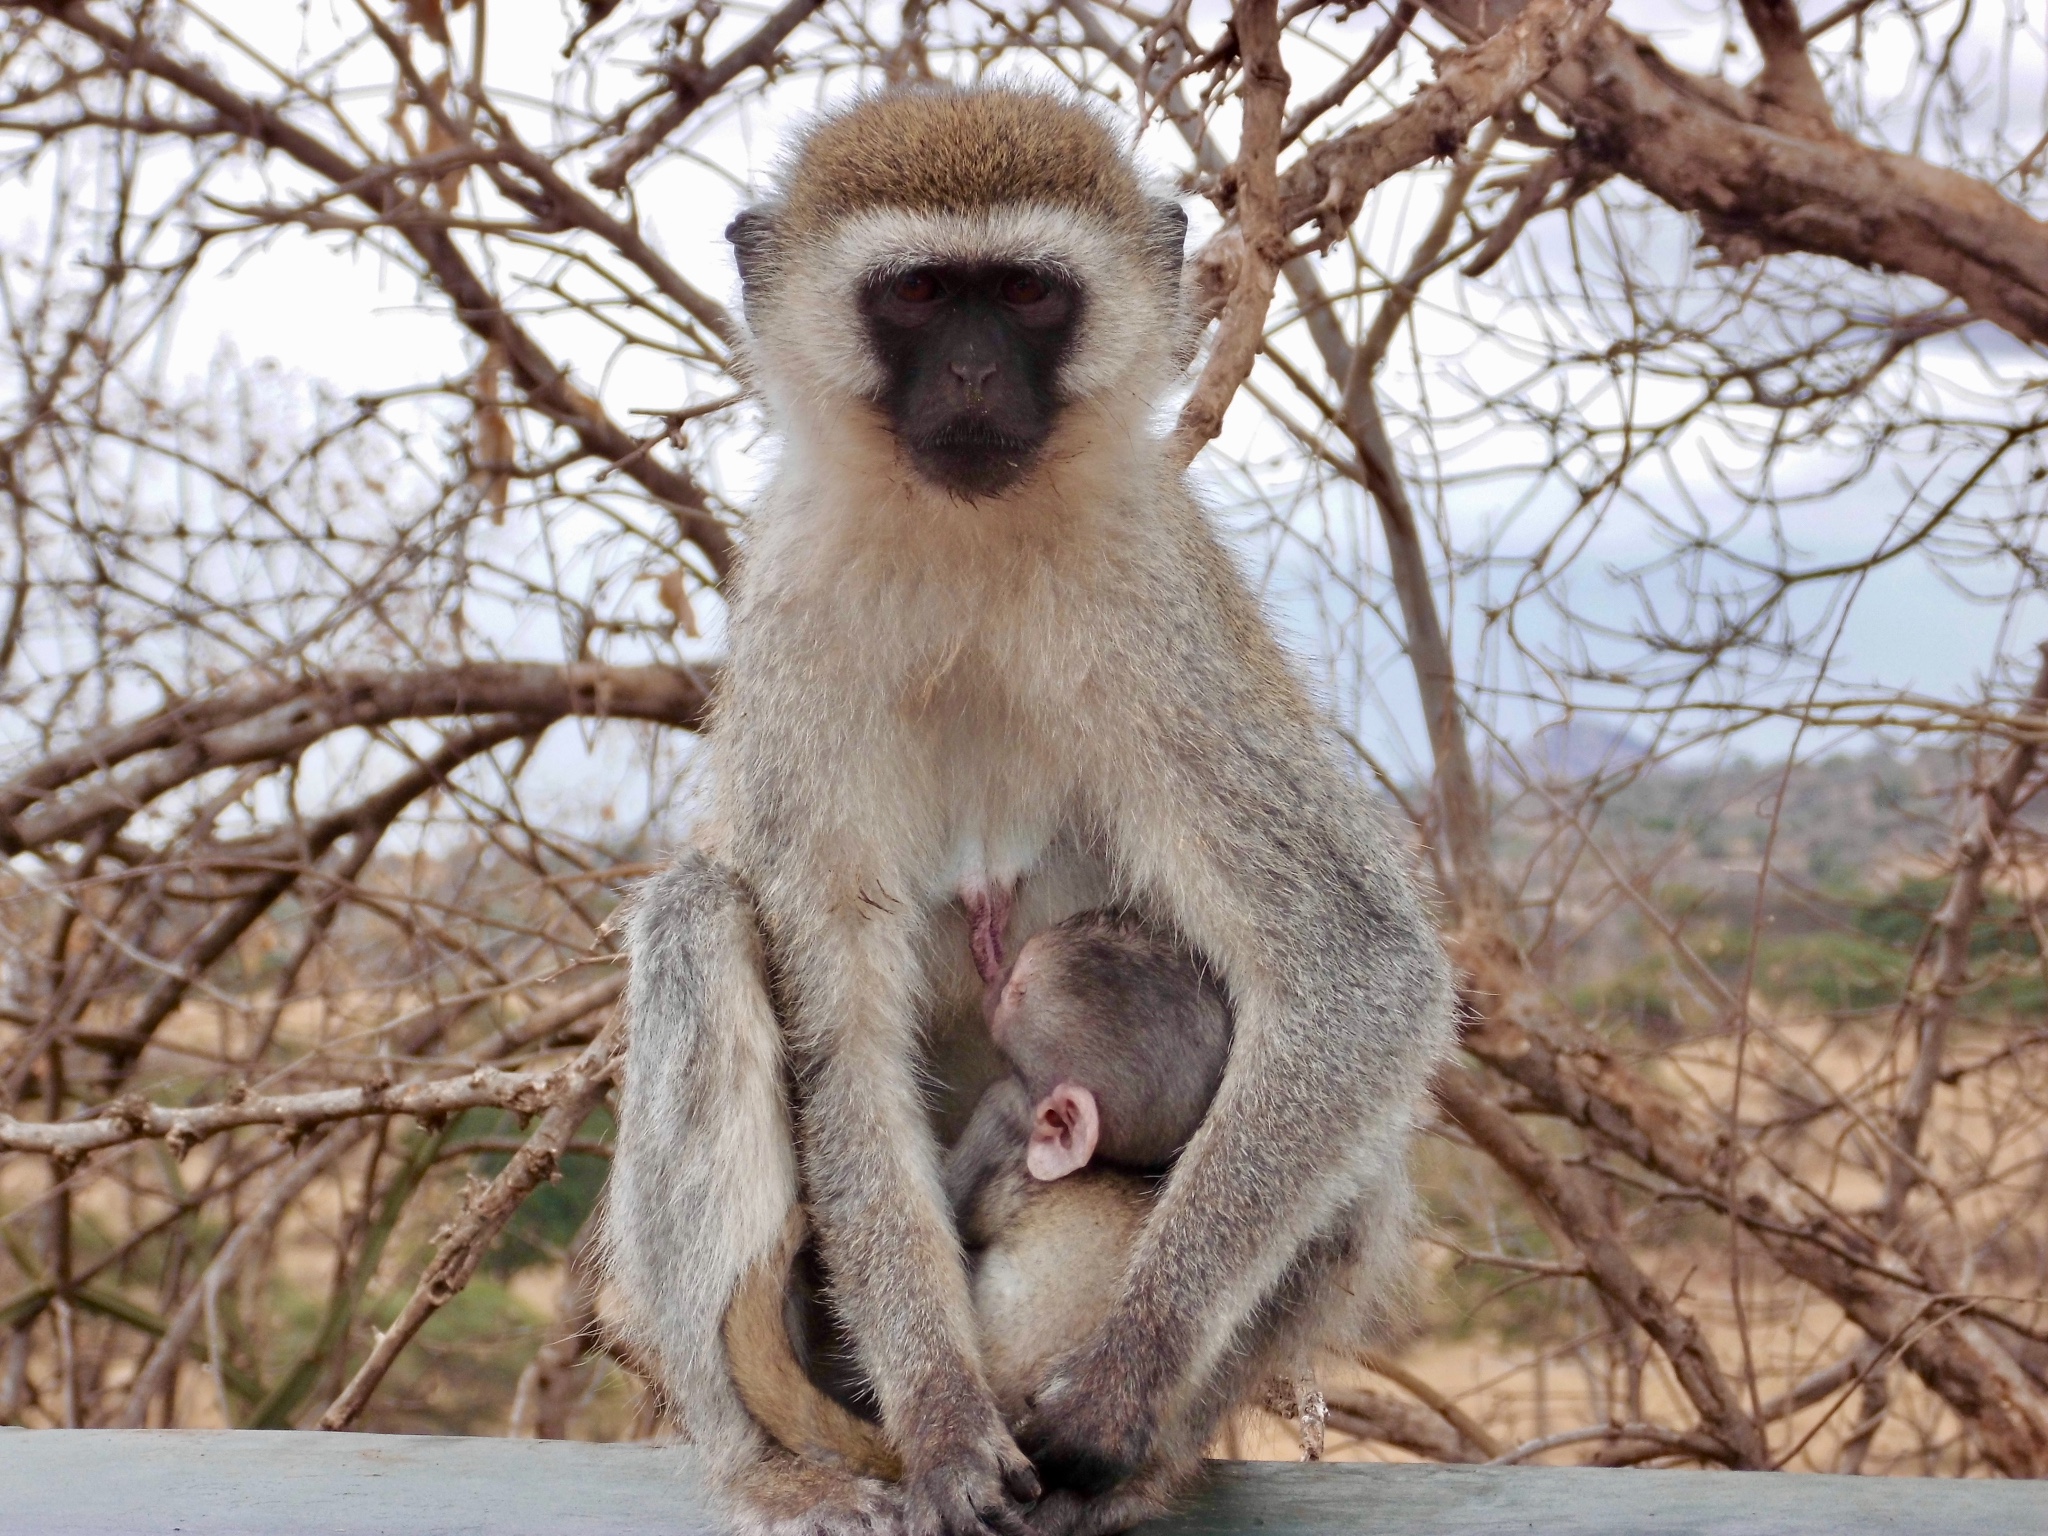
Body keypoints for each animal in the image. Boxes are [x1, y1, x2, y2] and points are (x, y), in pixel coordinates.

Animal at [606, 87, 1458, 1536]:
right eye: (920, 294)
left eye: (1024, 294)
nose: (968, 375)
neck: (966, 531)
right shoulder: (790, 620)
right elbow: (838, 1026)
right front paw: (944, 1416)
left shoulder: (1159, 605)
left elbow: (1355, 955)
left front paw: (1128, 1374)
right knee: (700, 918)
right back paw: (766, 1462)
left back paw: (1145, 1461)